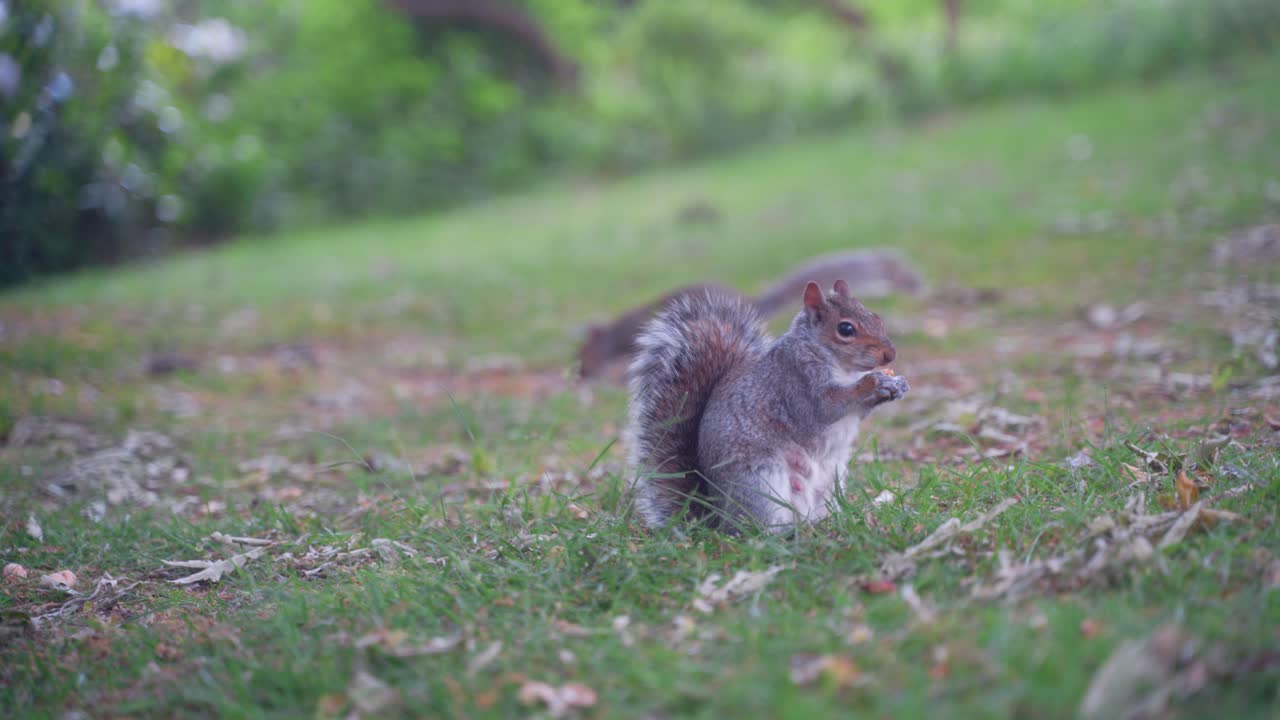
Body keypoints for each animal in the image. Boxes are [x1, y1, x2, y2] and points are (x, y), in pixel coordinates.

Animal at [625, 279, 909, 533]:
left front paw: (896, 385)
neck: (843, 367)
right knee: (755, 529)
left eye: (876, 317)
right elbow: (827, 406)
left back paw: (827, 525)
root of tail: (719, 518)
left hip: (830, 484)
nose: (890, 355)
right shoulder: (797, 384)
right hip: (760, 483)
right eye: (846, 329)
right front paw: (872, 382)